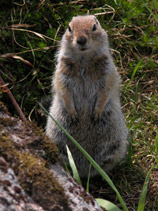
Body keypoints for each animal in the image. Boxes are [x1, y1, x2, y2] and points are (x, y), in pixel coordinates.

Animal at [46, 14, 128, 177]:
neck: (84, 59)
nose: (81, 40)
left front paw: (96, 112)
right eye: (69, 28)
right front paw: (73, 113)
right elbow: (63, 90)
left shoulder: (108, 73)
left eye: (94, 26)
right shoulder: (62, 73)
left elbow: (106, 91)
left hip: (116, 146)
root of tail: (84, 170)